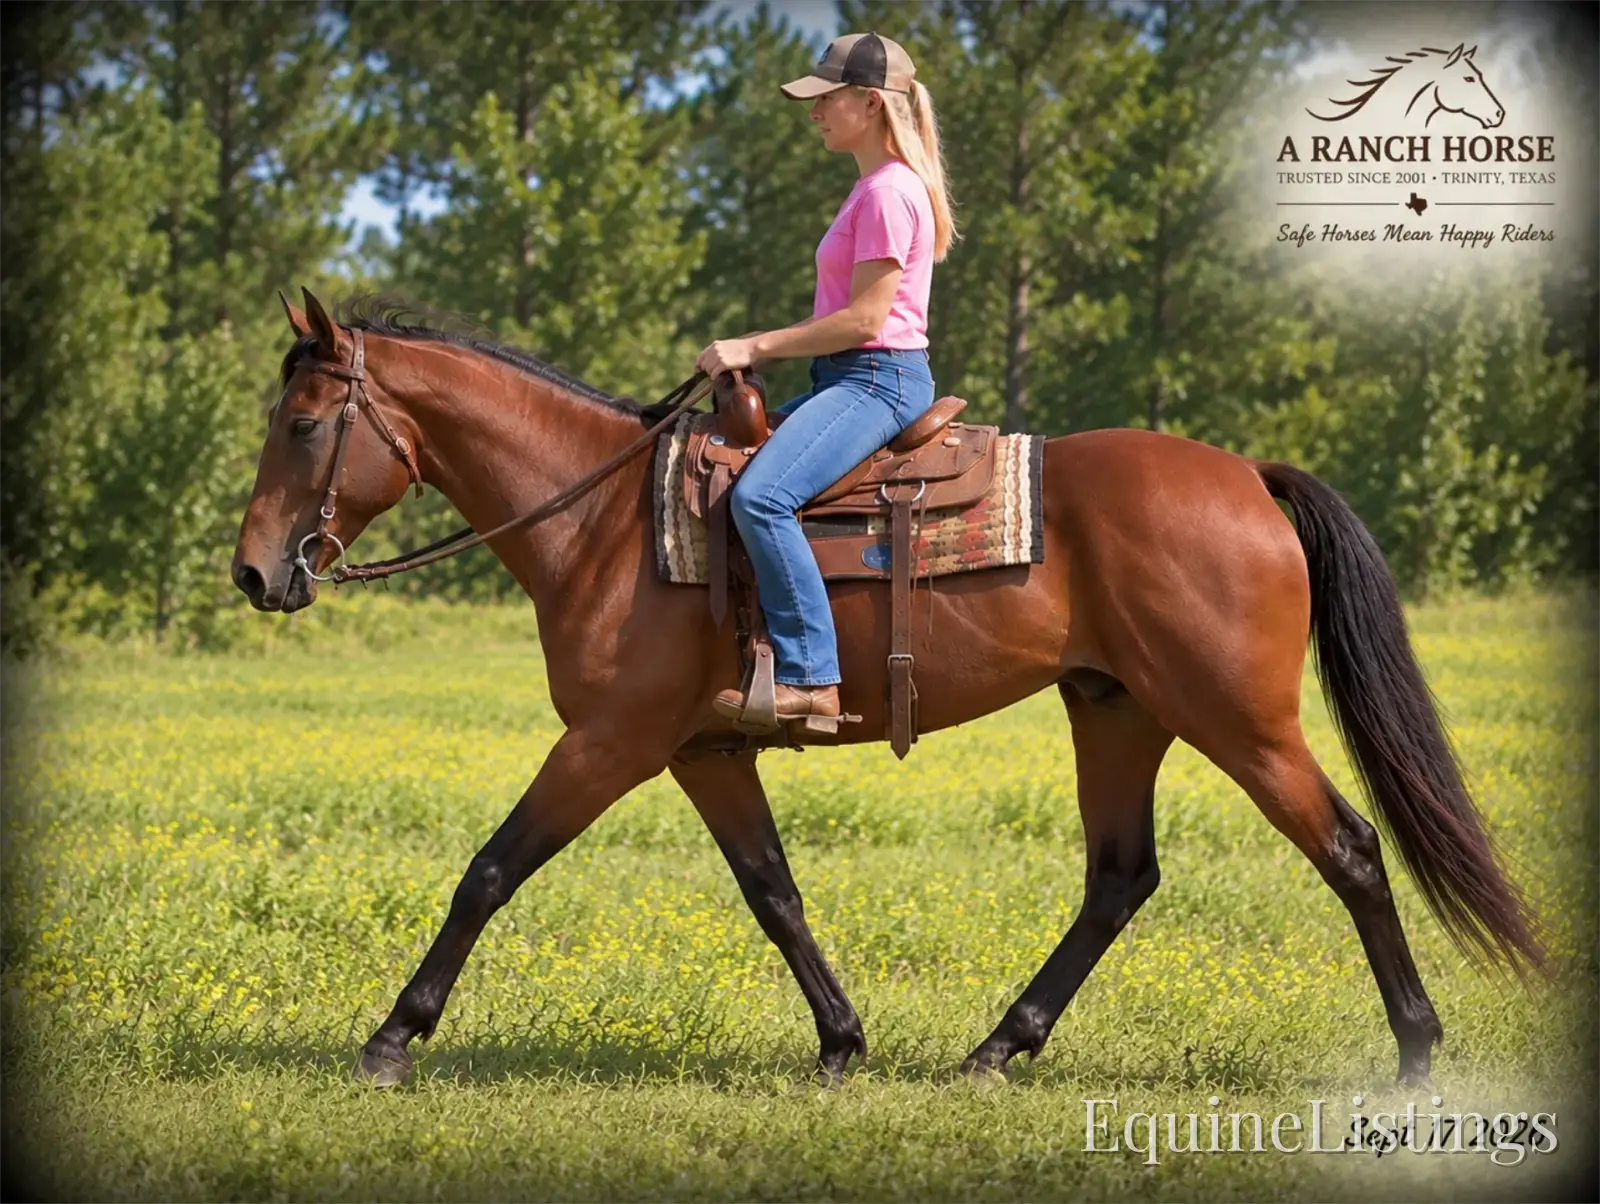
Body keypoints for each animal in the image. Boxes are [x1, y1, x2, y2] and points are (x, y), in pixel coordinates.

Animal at [231, 288, 1546, 1090]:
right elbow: (774, 893)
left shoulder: (610, 740)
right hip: (1115, 709)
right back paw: (998, 1047)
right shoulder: (704, 752)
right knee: (1119, 878)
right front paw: (840, 1040)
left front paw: (393, 1035)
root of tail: (1246, 476)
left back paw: (1417, 1052)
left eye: (302, 423)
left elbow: (490, 868)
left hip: (1242, 721)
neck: (603, 521)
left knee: (1351, 849)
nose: (253, 571)